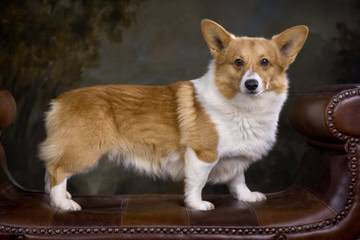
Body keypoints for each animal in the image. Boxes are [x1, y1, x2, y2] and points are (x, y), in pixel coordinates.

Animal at [39, 19, 310, 210]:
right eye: (238, 62)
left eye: (265, 62)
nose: (251, 84)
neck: (243, 107)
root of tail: (60, 101)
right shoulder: (203, 155)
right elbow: (197, 183)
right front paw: (197, 205)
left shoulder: (235, 158)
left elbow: (238, 179)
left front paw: (247, 197)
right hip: (84, 149)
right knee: (56, 170)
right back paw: (64, 203)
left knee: (52, 169)